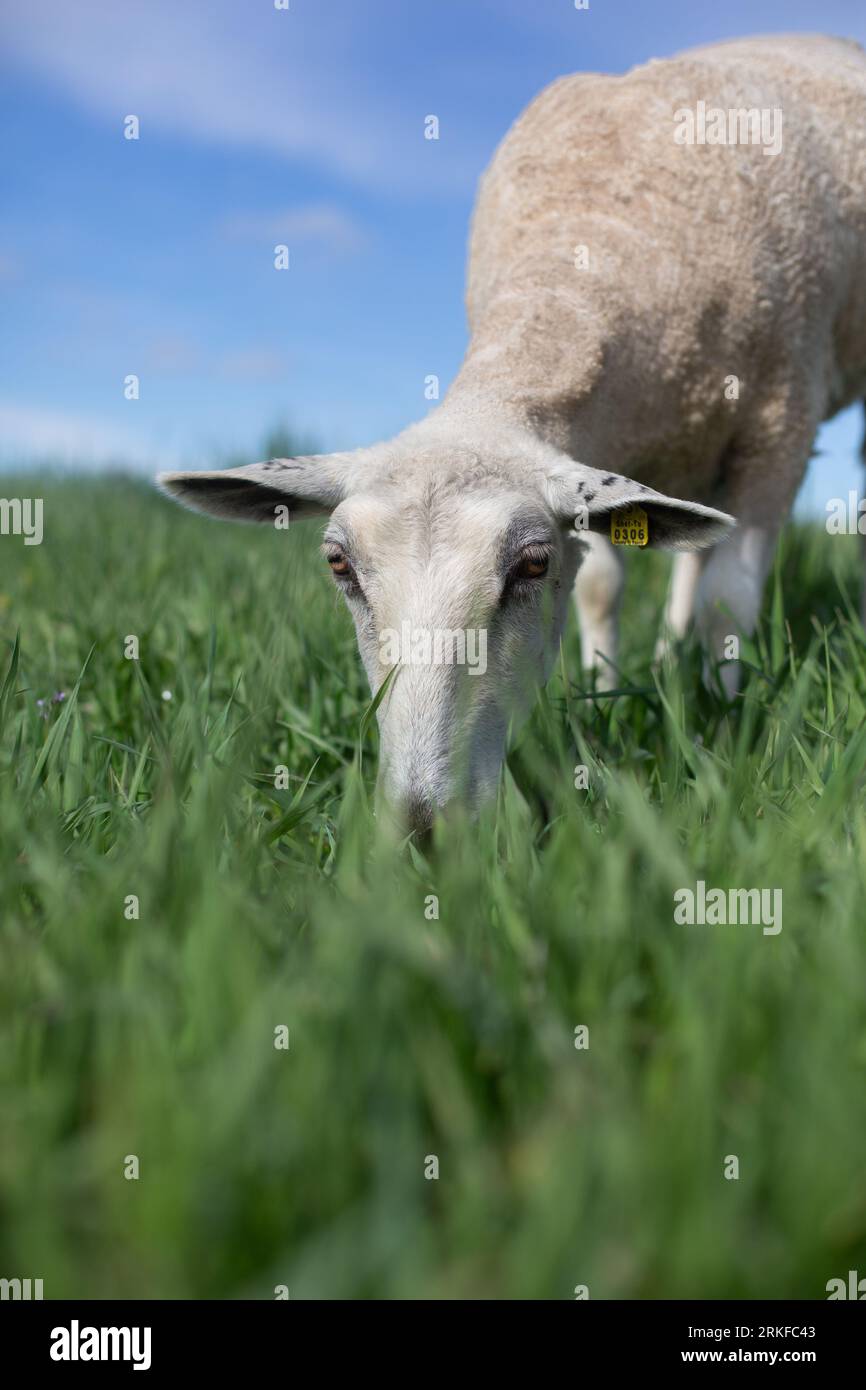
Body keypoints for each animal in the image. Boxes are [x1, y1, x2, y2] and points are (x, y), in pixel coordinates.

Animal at [159, 32, 866, 828]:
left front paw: (725, 728)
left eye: (530, 565)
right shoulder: (594, 454)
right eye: (339, 566)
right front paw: (601, 695)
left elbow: (729, 603)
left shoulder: (780, 423)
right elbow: (603, 590)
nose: (422, 827)